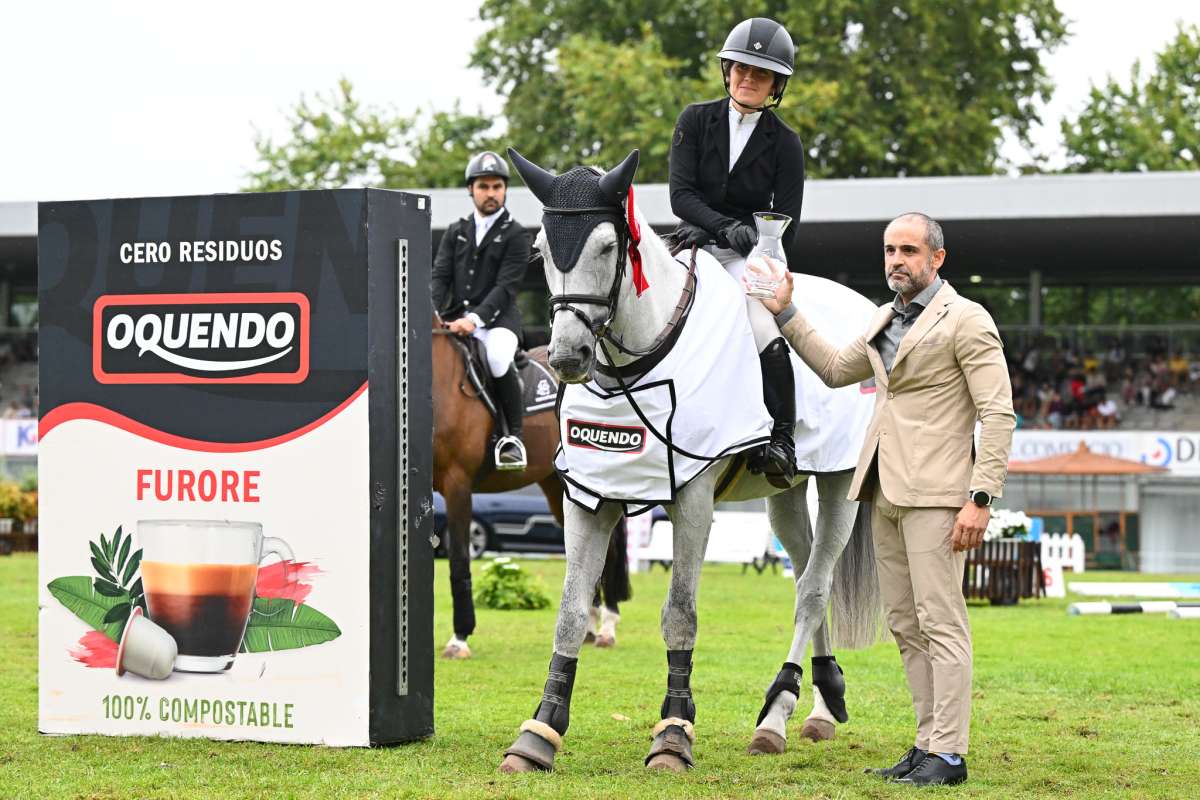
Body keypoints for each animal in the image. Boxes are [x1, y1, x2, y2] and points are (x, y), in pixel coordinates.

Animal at [432, 311, 628, 657]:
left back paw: (606, 627)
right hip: (558, 487)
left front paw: (460, 638)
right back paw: (588, 628)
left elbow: (459, 560)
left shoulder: (458, 486)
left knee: (612, 551)